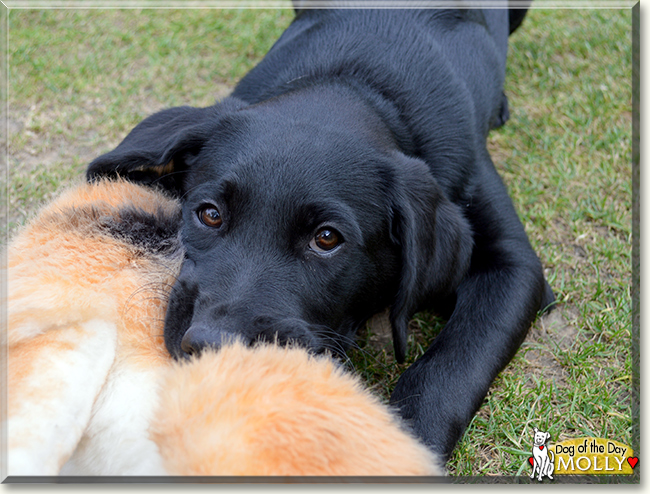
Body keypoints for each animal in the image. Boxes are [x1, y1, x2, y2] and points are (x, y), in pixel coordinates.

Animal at [86, 4, 552, 460]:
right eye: (210, 214)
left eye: (327, 239)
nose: (210, 346)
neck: (357, 80)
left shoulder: (513, 265)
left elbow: (450, 366)